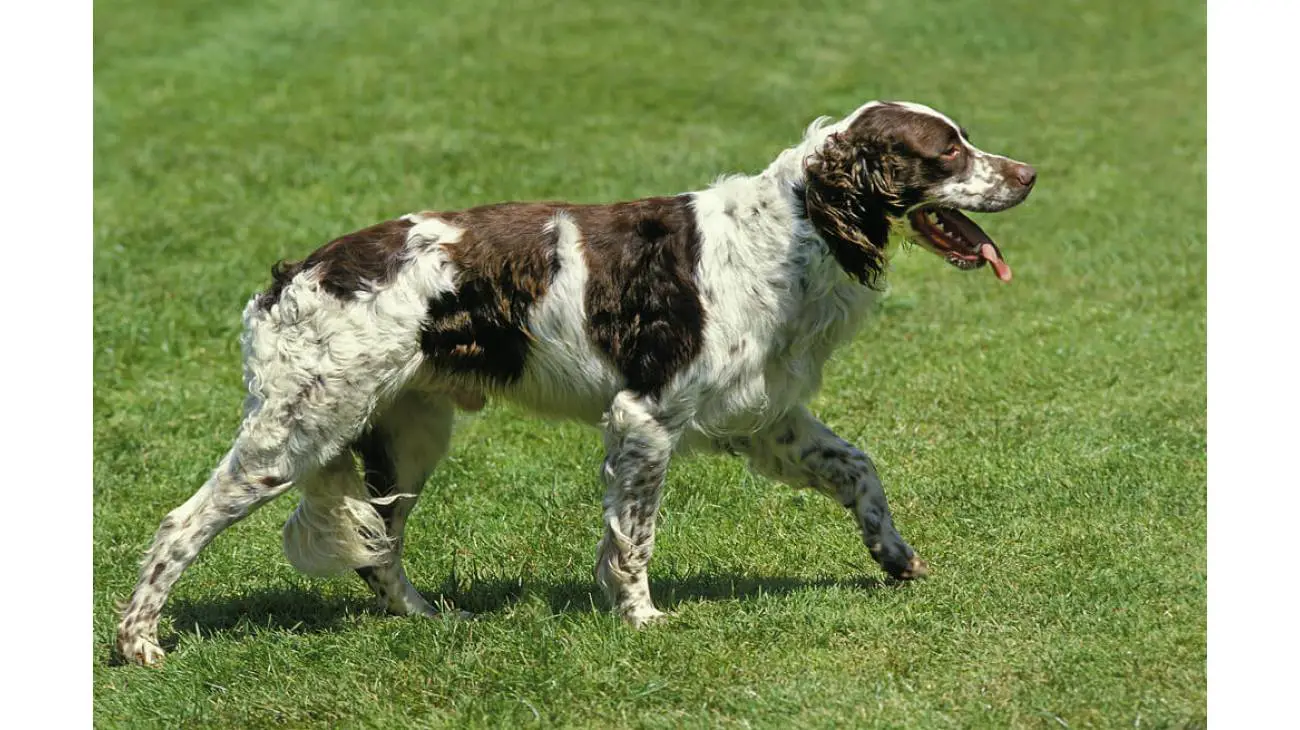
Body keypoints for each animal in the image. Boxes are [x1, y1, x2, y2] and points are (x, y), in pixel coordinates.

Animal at [116, 98, 1040, 665]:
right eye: (946, 150)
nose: (1030, 173)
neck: (791, 234)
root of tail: (289, 277)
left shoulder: (764, 416)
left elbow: (859, 469)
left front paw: (896, 558)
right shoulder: (645, 417)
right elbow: (633, 540)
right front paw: (641, 619)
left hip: (407, 436)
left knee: (379, 551)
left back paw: (428, 618)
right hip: (298, 431)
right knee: (179, 526)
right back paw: (137, 645)